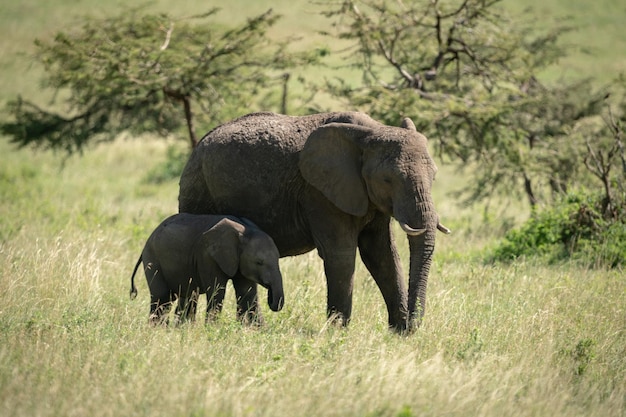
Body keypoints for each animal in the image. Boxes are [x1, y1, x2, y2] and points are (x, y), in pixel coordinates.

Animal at [130, 213, 284, 324]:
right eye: (259, 262)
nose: (271, 298)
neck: (244, 231)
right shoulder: (207, 256)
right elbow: (217, 292)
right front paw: (212, 329)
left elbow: (248, 293)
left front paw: (257, 330)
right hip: (153, 259)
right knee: (162, 298)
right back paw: (157, 329)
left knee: (184, 296)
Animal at [178, 111, 446, 332]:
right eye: (388, 179)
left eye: (434, 176)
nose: (413, 325)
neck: (372, 132)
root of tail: (198, 146)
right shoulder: (319, 193)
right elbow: (341, 255)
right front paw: (338, 333)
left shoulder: (369, 198)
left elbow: (382, 255)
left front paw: (399, 333)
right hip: (197, 188)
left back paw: (252, 329)